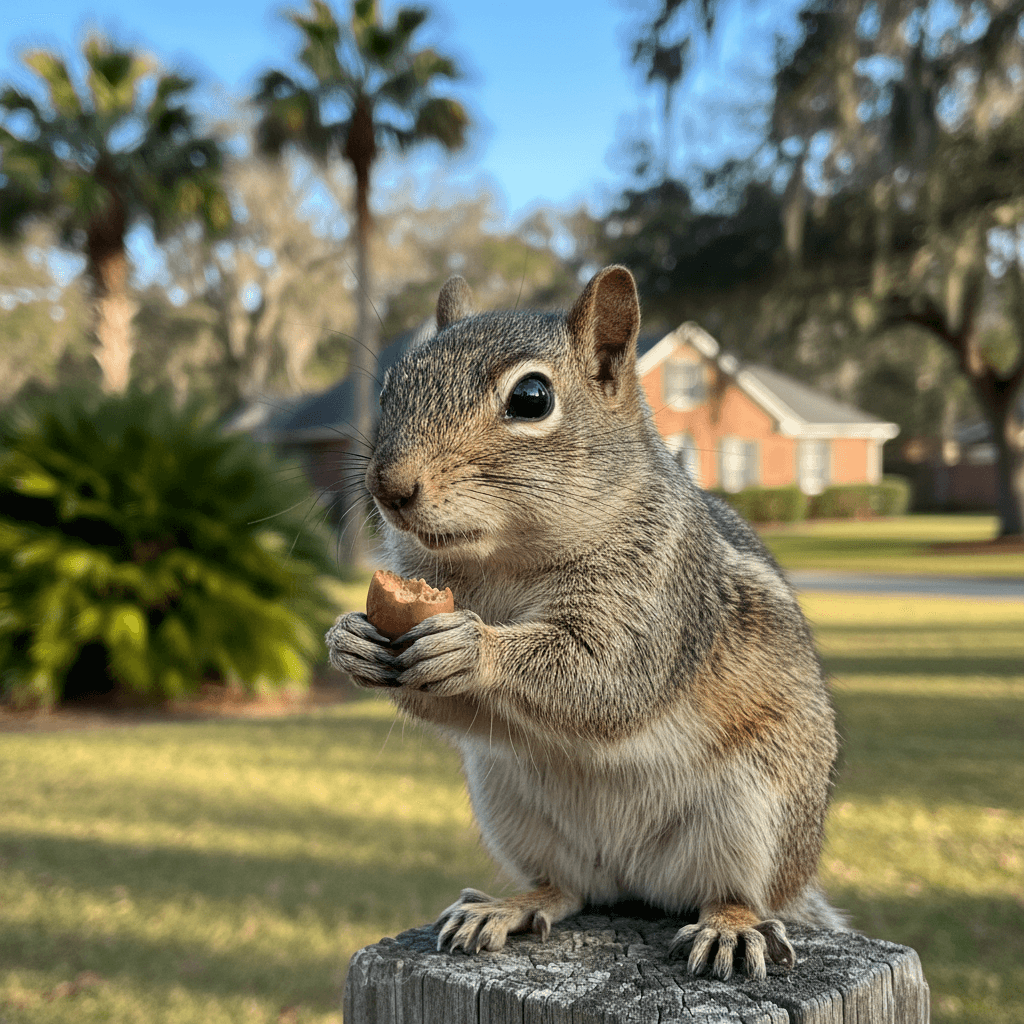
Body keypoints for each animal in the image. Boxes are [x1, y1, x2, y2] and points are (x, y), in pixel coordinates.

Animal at [326, 265, 845, 982]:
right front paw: (347, 640)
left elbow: (605, 674)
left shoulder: (659, 595)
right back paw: (508, 906)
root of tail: (635, 880)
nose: (388, 487)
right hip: (511, 807)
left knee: (736, 890)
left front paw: (474, 648)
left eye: (532, 398)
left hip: (757, 810)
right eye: (389, 387)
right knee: (567, 889)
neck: (504, 560)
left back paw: (733, 927)